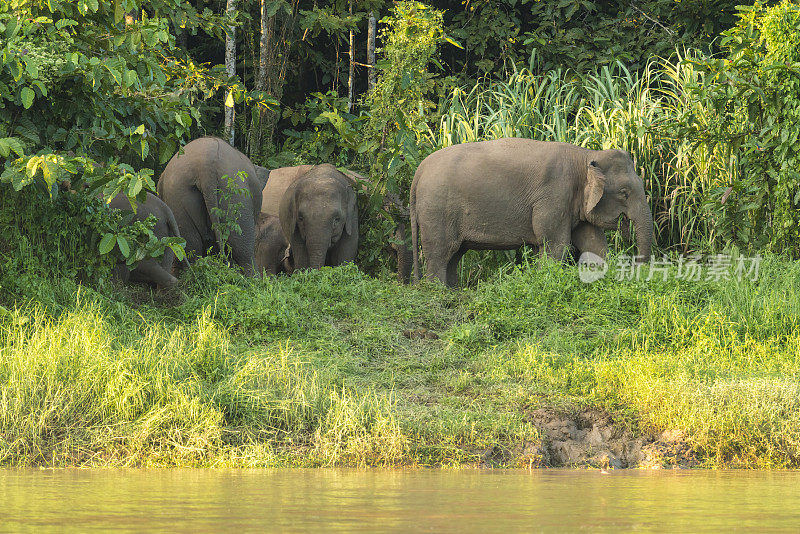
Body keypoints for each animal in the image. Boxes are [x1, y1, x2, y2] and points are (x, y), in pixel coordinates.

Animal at [410, 139, 652, 288]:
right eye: (624, 193)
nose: (636, 270)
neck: (586, 157)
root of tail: (419, 170)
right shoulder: (553, 196)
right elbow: (556, 244)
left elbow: (593, 243)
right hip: (436, 210)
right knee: (440, 253)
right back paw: (438, 292)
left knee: (455, 254)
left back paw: (454, 291)